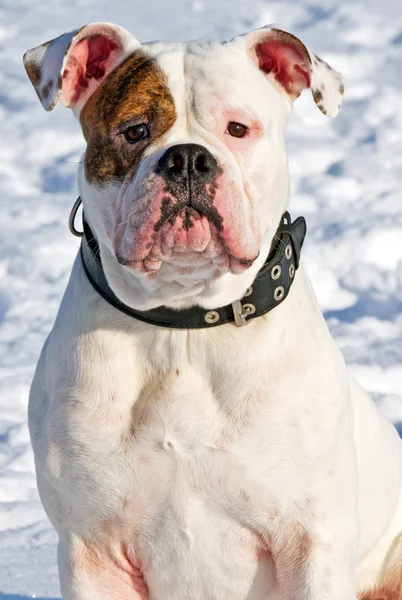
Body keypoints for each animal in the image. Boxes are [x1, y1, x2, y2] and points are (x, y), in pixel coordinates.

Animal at [23, 22, 400, 600]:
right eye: (135, 130)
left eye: (238, 128)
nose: (186, 158)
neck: (185, 328)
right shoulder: (94, 550)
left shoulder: (311, 539)